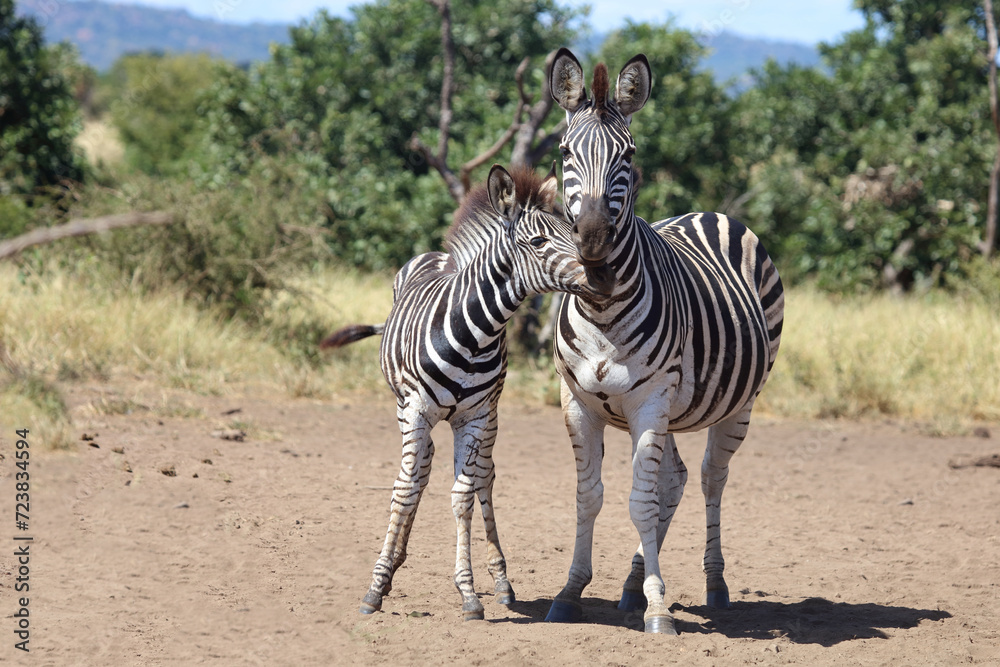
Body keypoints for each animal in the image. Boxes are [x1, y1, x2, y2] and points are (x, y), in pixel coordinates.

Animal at [321, 163, 613, 622]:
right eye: (538, 242)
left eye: (573, 230)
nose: (605, 279)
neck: (475, 332)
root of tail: (438, 256)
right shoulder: (416, 411)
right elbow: (404, 489)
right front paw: (376, 586)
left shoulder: (474, 416)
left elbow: (463, 495)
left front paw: (470, 593)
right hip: (409, 412)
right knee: (418, 473)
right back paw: (394, 562)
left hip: (490, 416)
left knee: (483, 479)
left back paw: (502, 583)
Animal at [542, 48, 785, 634]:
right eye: (563, 151)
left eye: (628, 155)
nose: (592, 242)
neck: (602, 308)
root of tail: (710, 212)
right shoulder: (577, 401)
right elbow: (590, 497)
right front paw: (570, 591)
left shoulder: (650, 400)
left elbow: (640, 502)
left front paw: (658, 610)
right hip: (672, 410)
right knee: (673, 479)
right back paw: (632, 584)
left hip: (737, 403)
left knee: (709, 479)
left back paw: (713, 585)